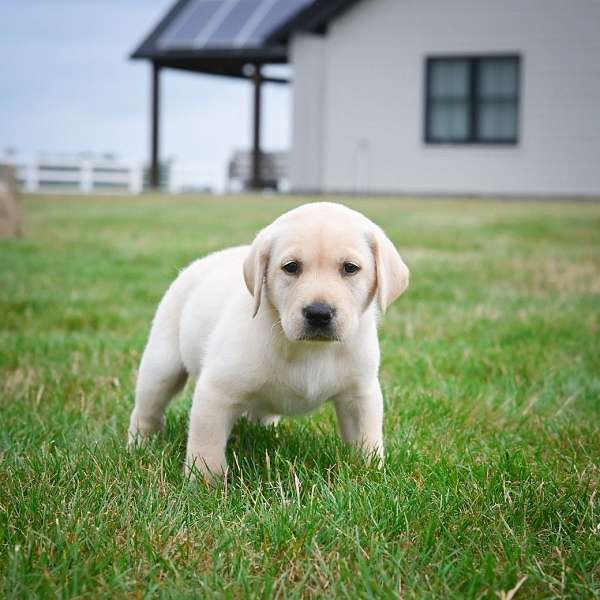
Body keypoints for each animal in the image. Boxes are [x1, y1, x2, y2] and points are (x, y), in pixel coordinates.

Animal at [126, 204, 408, 480]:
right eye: (291, 267)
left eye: (350, 268)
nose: (318, 313)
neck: (309, 348)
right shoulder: (217, 391)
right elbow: (207, 444)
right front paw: (205, 482)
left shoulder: (360, 394)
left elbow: (367, 438)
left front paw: (370, 472)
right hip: (162, 365)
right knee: (147, 409)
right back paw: (140, 444)